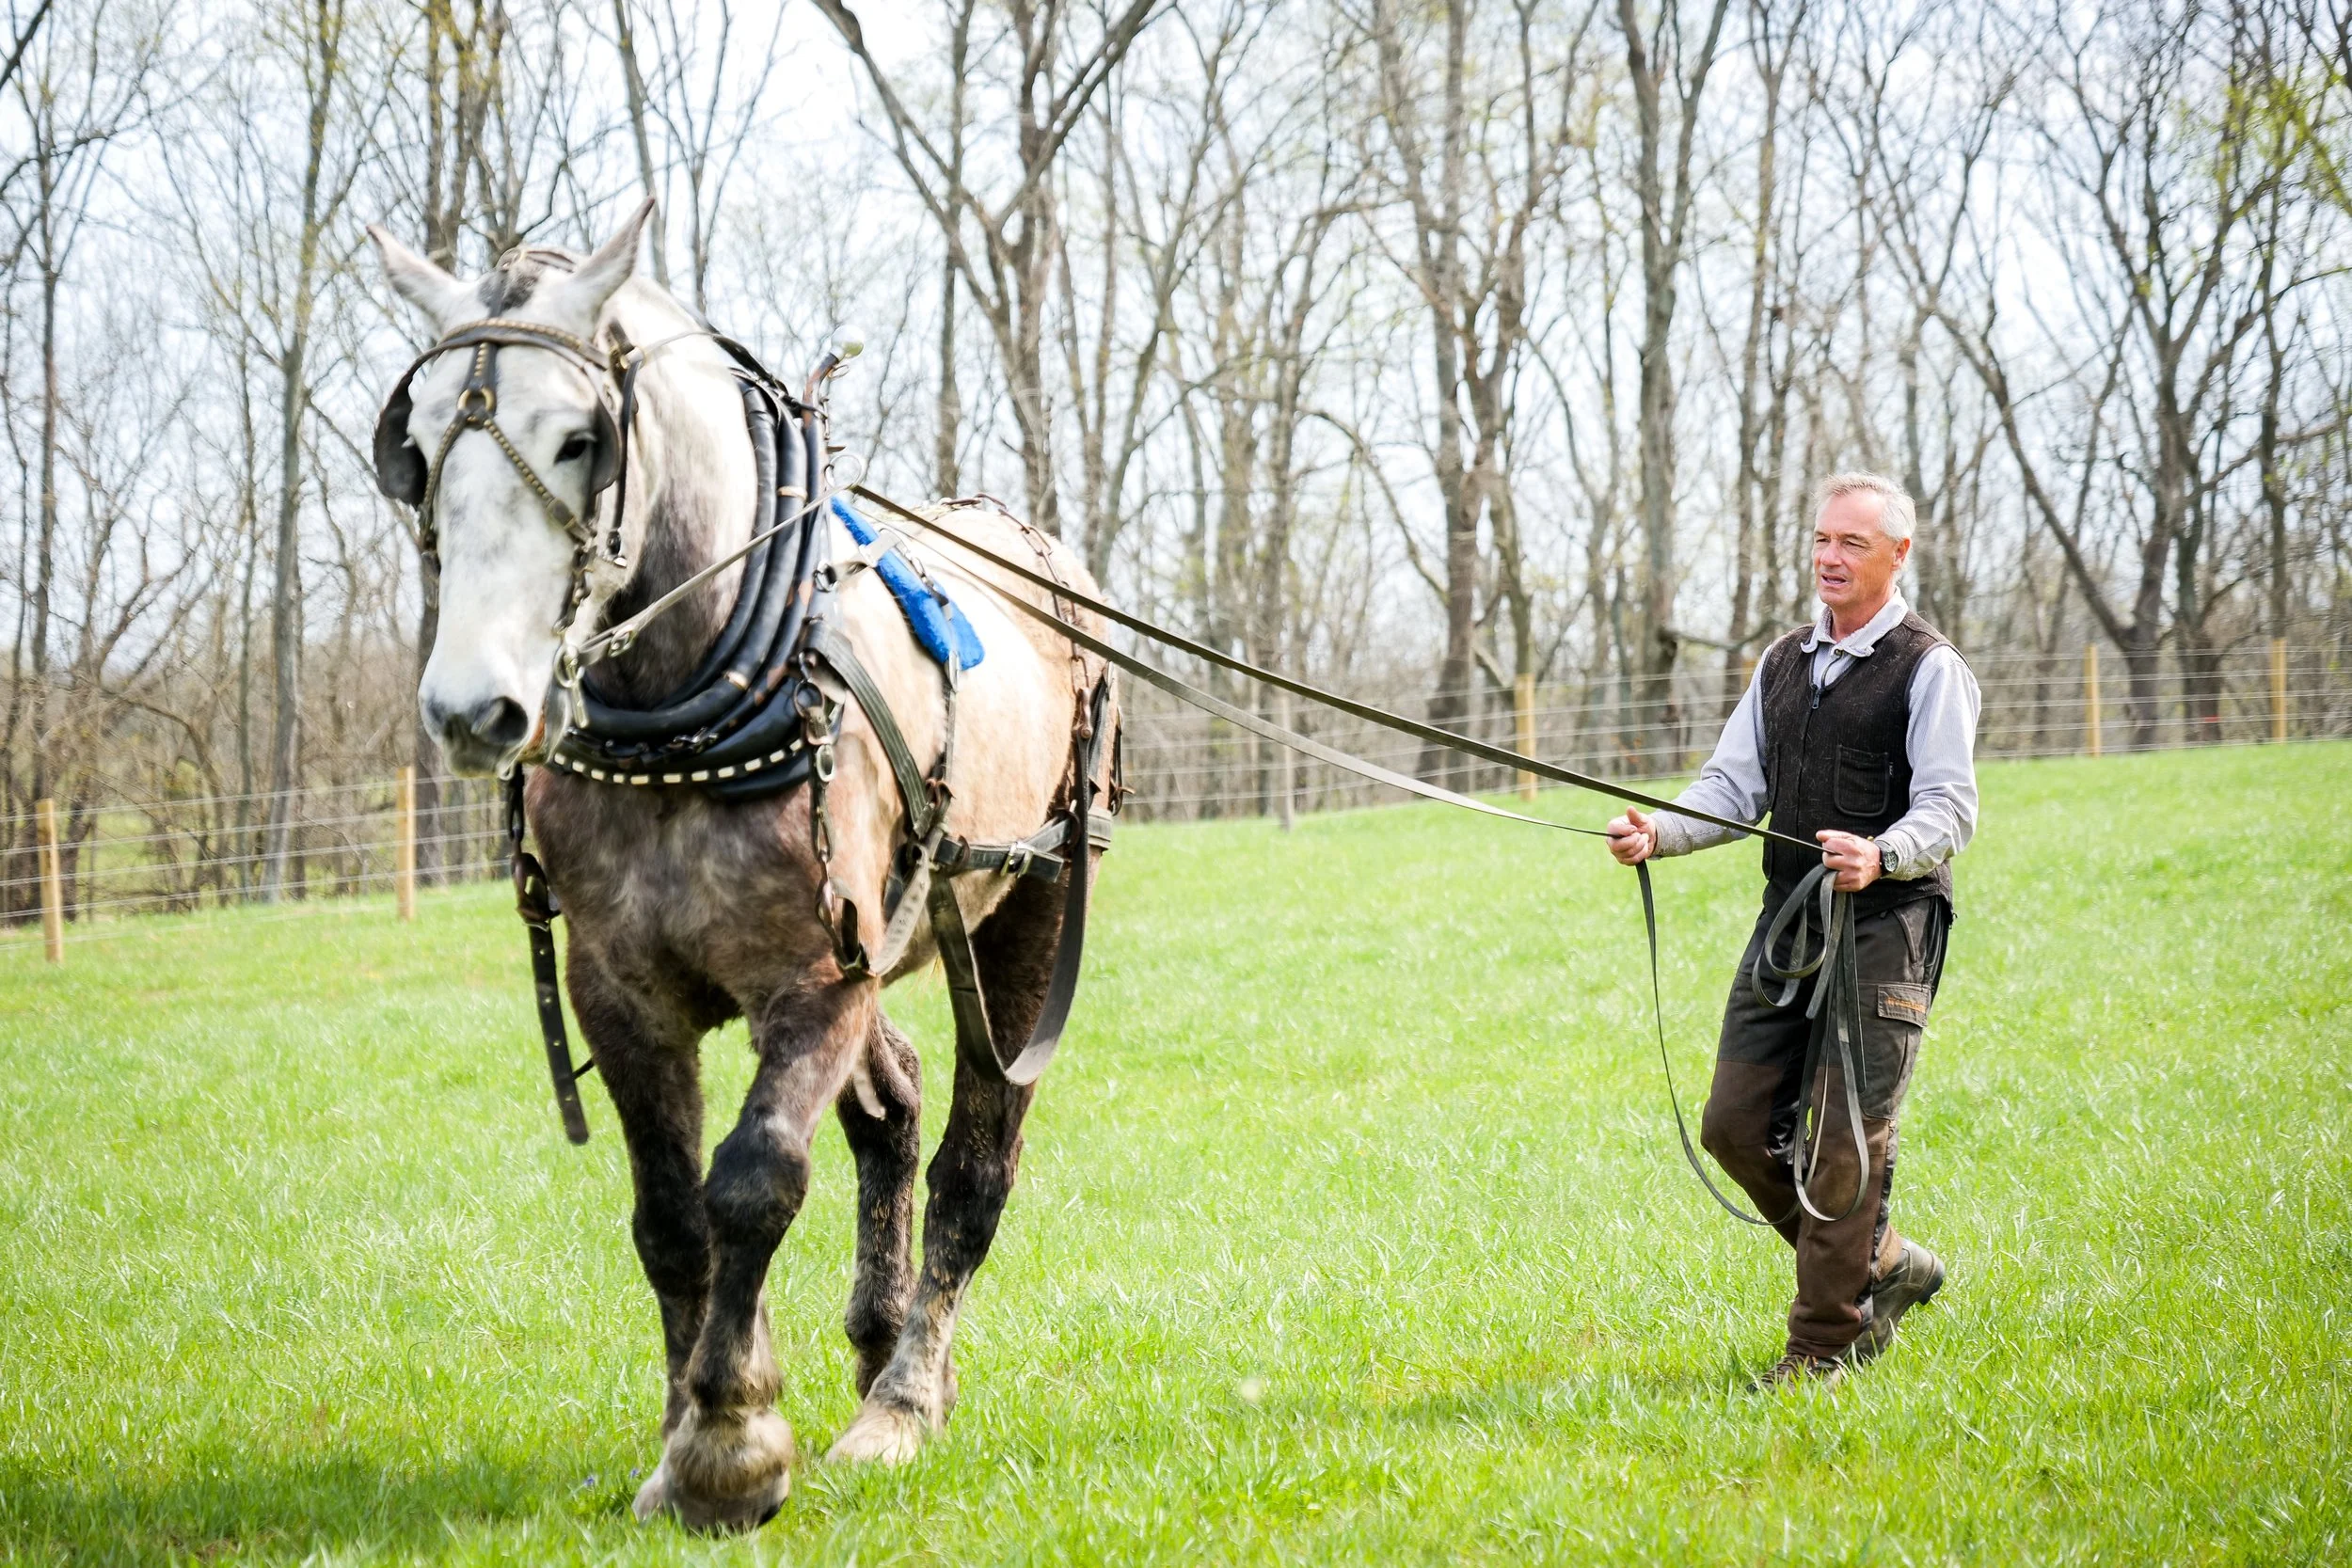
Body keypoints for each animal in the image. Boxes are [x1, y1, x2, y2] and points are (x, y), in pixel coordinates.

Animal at [367, 200, 1118, 1531]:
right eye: (416, 445)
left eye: (579, 439)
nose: (472, 711)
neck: (682, 710)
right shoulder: (622, 994)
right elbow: (671, 1215)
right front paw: (681, 1440)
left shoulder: (812, 984)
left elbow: (754, 1179)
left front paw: (735, 1441)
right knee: (895, 1103)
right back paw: (879, 1345)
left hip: (1024, 911)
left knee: (973, 1161)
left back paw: (902, 1399)